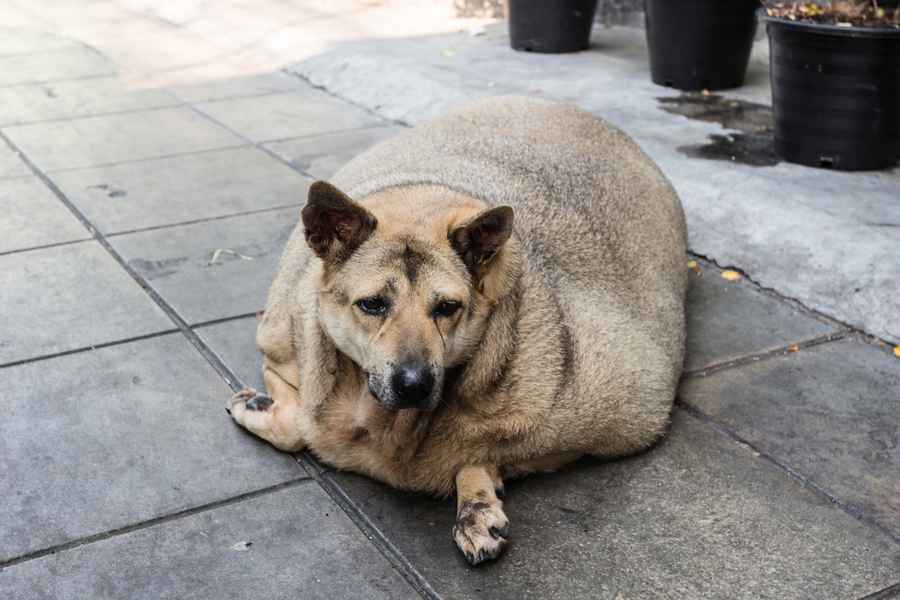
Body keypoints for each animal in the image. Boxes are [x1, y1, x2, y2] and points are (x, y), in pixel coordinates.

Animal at [229, 96, 684, 564]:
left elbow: (482, 451)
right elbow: (297, 425)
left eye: (447, 307)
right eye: (372, 304)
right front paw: (260, 405)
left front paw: (476, 494)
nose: (414, 383)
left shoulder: (630, 408)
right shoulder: (281, 344)